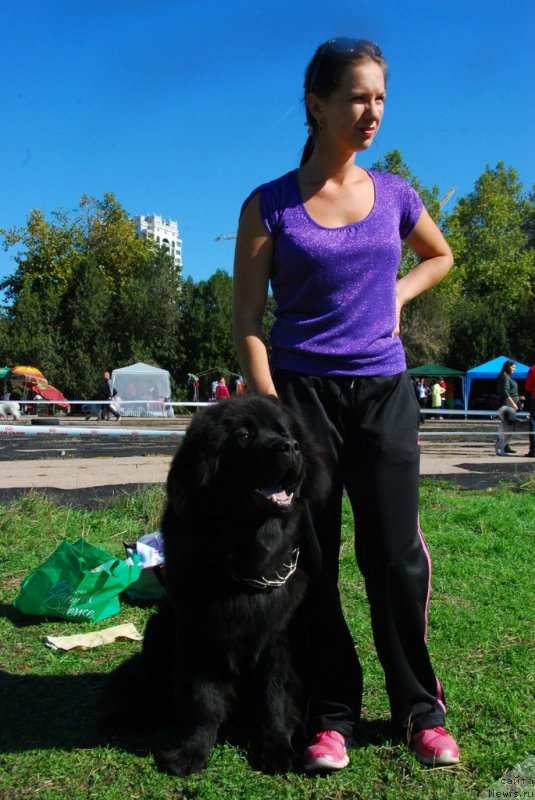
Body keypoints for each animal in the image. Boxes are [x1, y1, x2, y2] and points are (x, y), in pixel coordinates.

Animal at [102, 394, 324, 776]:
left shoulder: (277, 636)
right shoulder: (199, 633)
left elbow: (273, 696)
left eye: (285, 432)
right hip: (159, 628)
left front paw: (276, 748)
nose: (290, 446)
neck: (244, 561)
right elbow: (201, 699)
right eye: (244, 436)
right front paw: (190, 751)